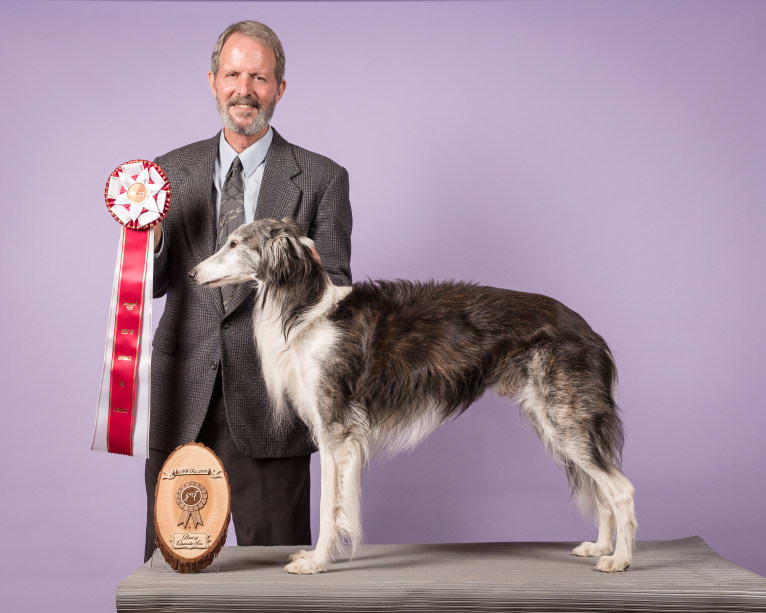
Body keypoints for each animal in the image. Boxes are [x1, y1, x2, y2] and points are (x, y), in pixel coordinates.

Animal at [189, 218, 640, 572]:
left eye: (235, 243)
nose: (192, 274)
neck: (309, 312)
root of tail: (589, 331)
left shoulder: (336, 430)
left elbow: (330, 507)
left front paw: (317, 562)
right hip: (556, 422)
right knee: (602, 490)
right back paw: (600, 547)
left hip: (566, 418)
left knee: (620, 489)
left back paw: (619, 559)